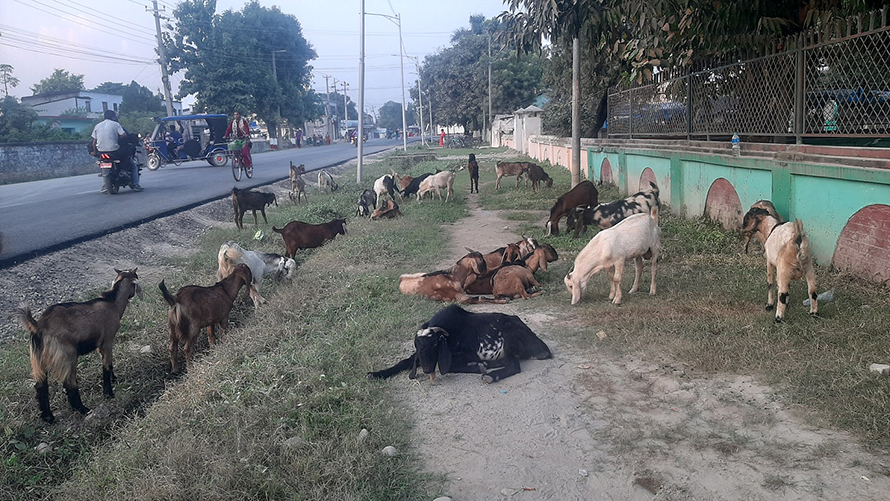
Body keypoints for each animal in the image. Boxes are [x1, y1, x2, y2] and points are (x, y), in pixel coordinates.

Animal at [14, 268, 143, 420]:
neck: (112, 303)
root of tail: (38, 325)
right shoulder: (107, 341)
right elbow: (106, 366)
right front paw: (109, 393)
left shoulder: (100, 346)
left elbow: (109, 364)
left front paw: (114, 379)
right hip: (67, 355)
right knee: (69, 383)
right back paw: (82, 409)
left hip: (38, 359)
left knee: (40, 385)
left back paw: (48, 417)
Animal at [366, 302, 548, 380]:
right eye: (417, 345)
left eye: (435, 344)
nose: (426, 369)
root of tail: (541, 345)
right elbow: (403, 362)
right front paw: (376, 374)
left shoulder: (468, 354)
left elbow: (450, 366)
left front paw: (477, 367)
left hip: (510, 340)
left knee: (513, 365)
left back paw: (490, 375)